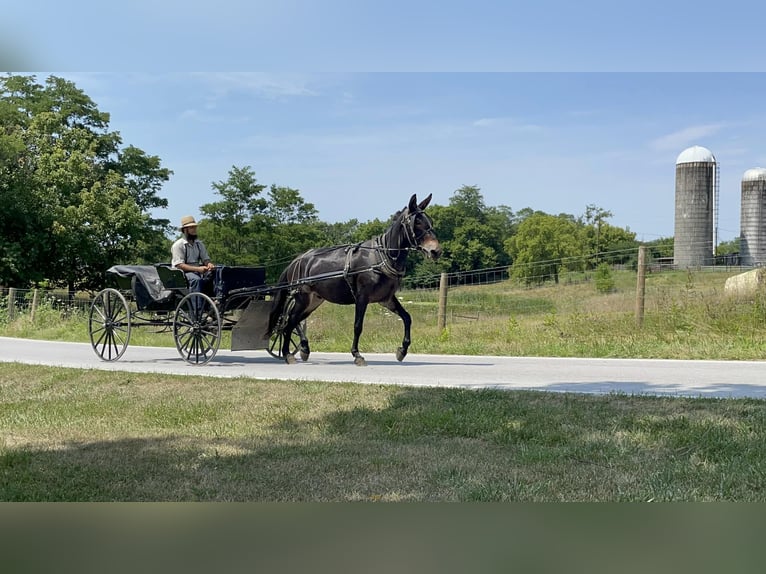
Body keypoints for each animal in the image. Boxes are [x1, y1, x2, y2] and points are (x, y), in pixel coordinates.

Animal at [270, 192, 440, 364]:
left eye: (430, 221)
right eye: (417, 222)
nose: (436, 251)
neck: (380, 257)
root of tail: (297, 260)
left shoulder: (386, 299)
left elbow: (407, 318)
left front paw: (402, 350)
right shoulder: (362, 298)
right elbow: (358, 326)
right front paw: (357, 354)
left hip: (313, 300)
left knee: (295, 321)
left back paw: (303, 348)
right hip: (302, 297)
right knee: (289, 322)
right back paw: (288, 353)